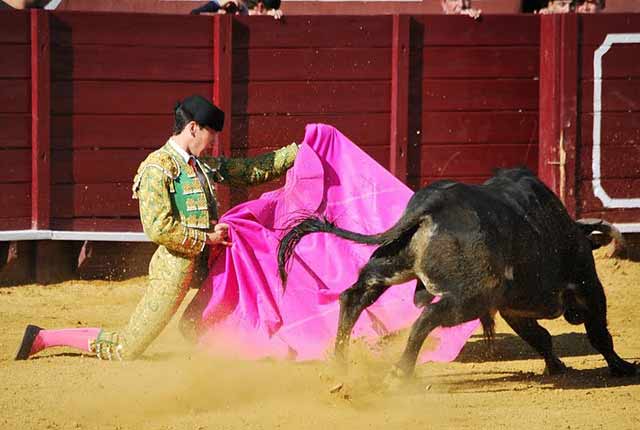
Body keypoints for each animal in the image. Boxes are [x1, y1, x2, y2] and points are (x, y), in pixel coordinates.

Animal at [276, 168, 636, 380]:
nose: (571, 315)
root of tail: (431, 205)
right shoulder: (588, 285)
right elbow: (598, 333)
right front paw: (622, 367)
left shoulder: (512, 308)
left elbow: (540, 337)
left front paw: (556, 366)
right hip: (470, 296)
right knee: (428, 317)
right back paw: (400, 372)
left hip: (391, 265)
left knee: (353, 297)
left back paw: (339, 363)